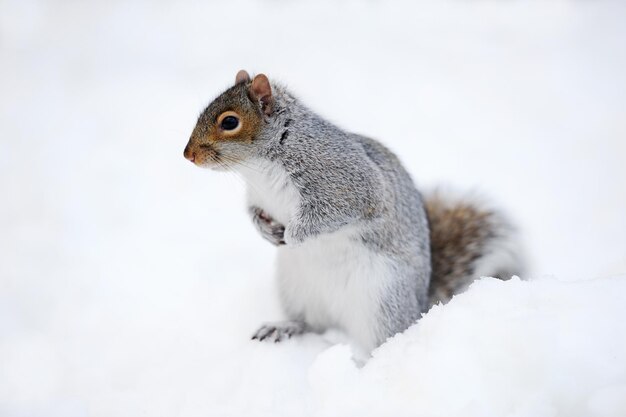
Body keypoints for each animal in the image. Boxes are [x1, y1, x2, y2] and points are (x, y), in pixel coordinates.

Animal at [182, 70, 520, 352]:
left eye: (229, 122)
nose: (188, 155)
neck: (258, 168)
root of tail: (419, 307)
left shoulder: (346, 181)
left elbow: (338, 210)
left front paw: (294, 235)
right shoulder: (258, 197)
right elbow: (253, 211)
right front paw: (266, 231)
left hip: (381, 300)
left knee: (382, 341)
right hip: (297, 290)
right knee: (311, 323)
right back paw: (285, 327)